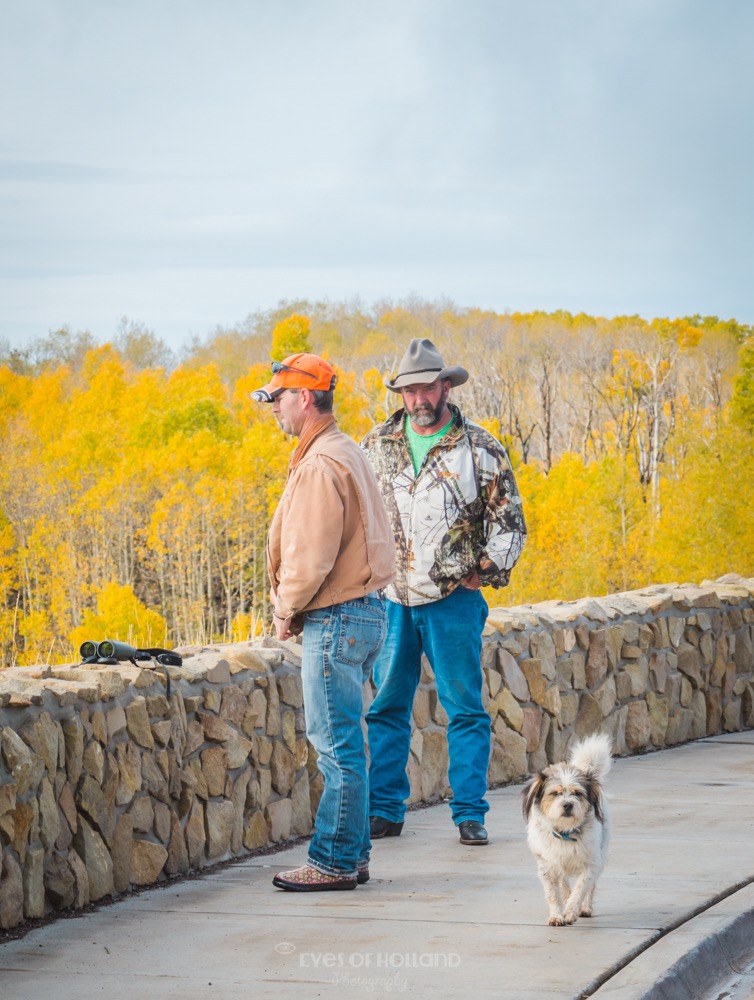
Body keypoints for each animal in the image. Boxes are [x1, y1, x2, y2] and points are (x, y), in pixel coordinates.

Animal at [524, 732, 612, 924]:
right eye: (555, 793)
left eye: (577, 793)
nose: (567, 805)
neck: (565, 832)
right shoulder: (547, 866)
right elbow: (553, 893)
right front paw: (557, 915)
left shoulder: (590, 864)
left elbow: (581, 888)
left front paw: (571, 911)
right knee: (563, 885)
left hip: (601, 855)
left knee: (590, 886)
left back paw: (585, 908)